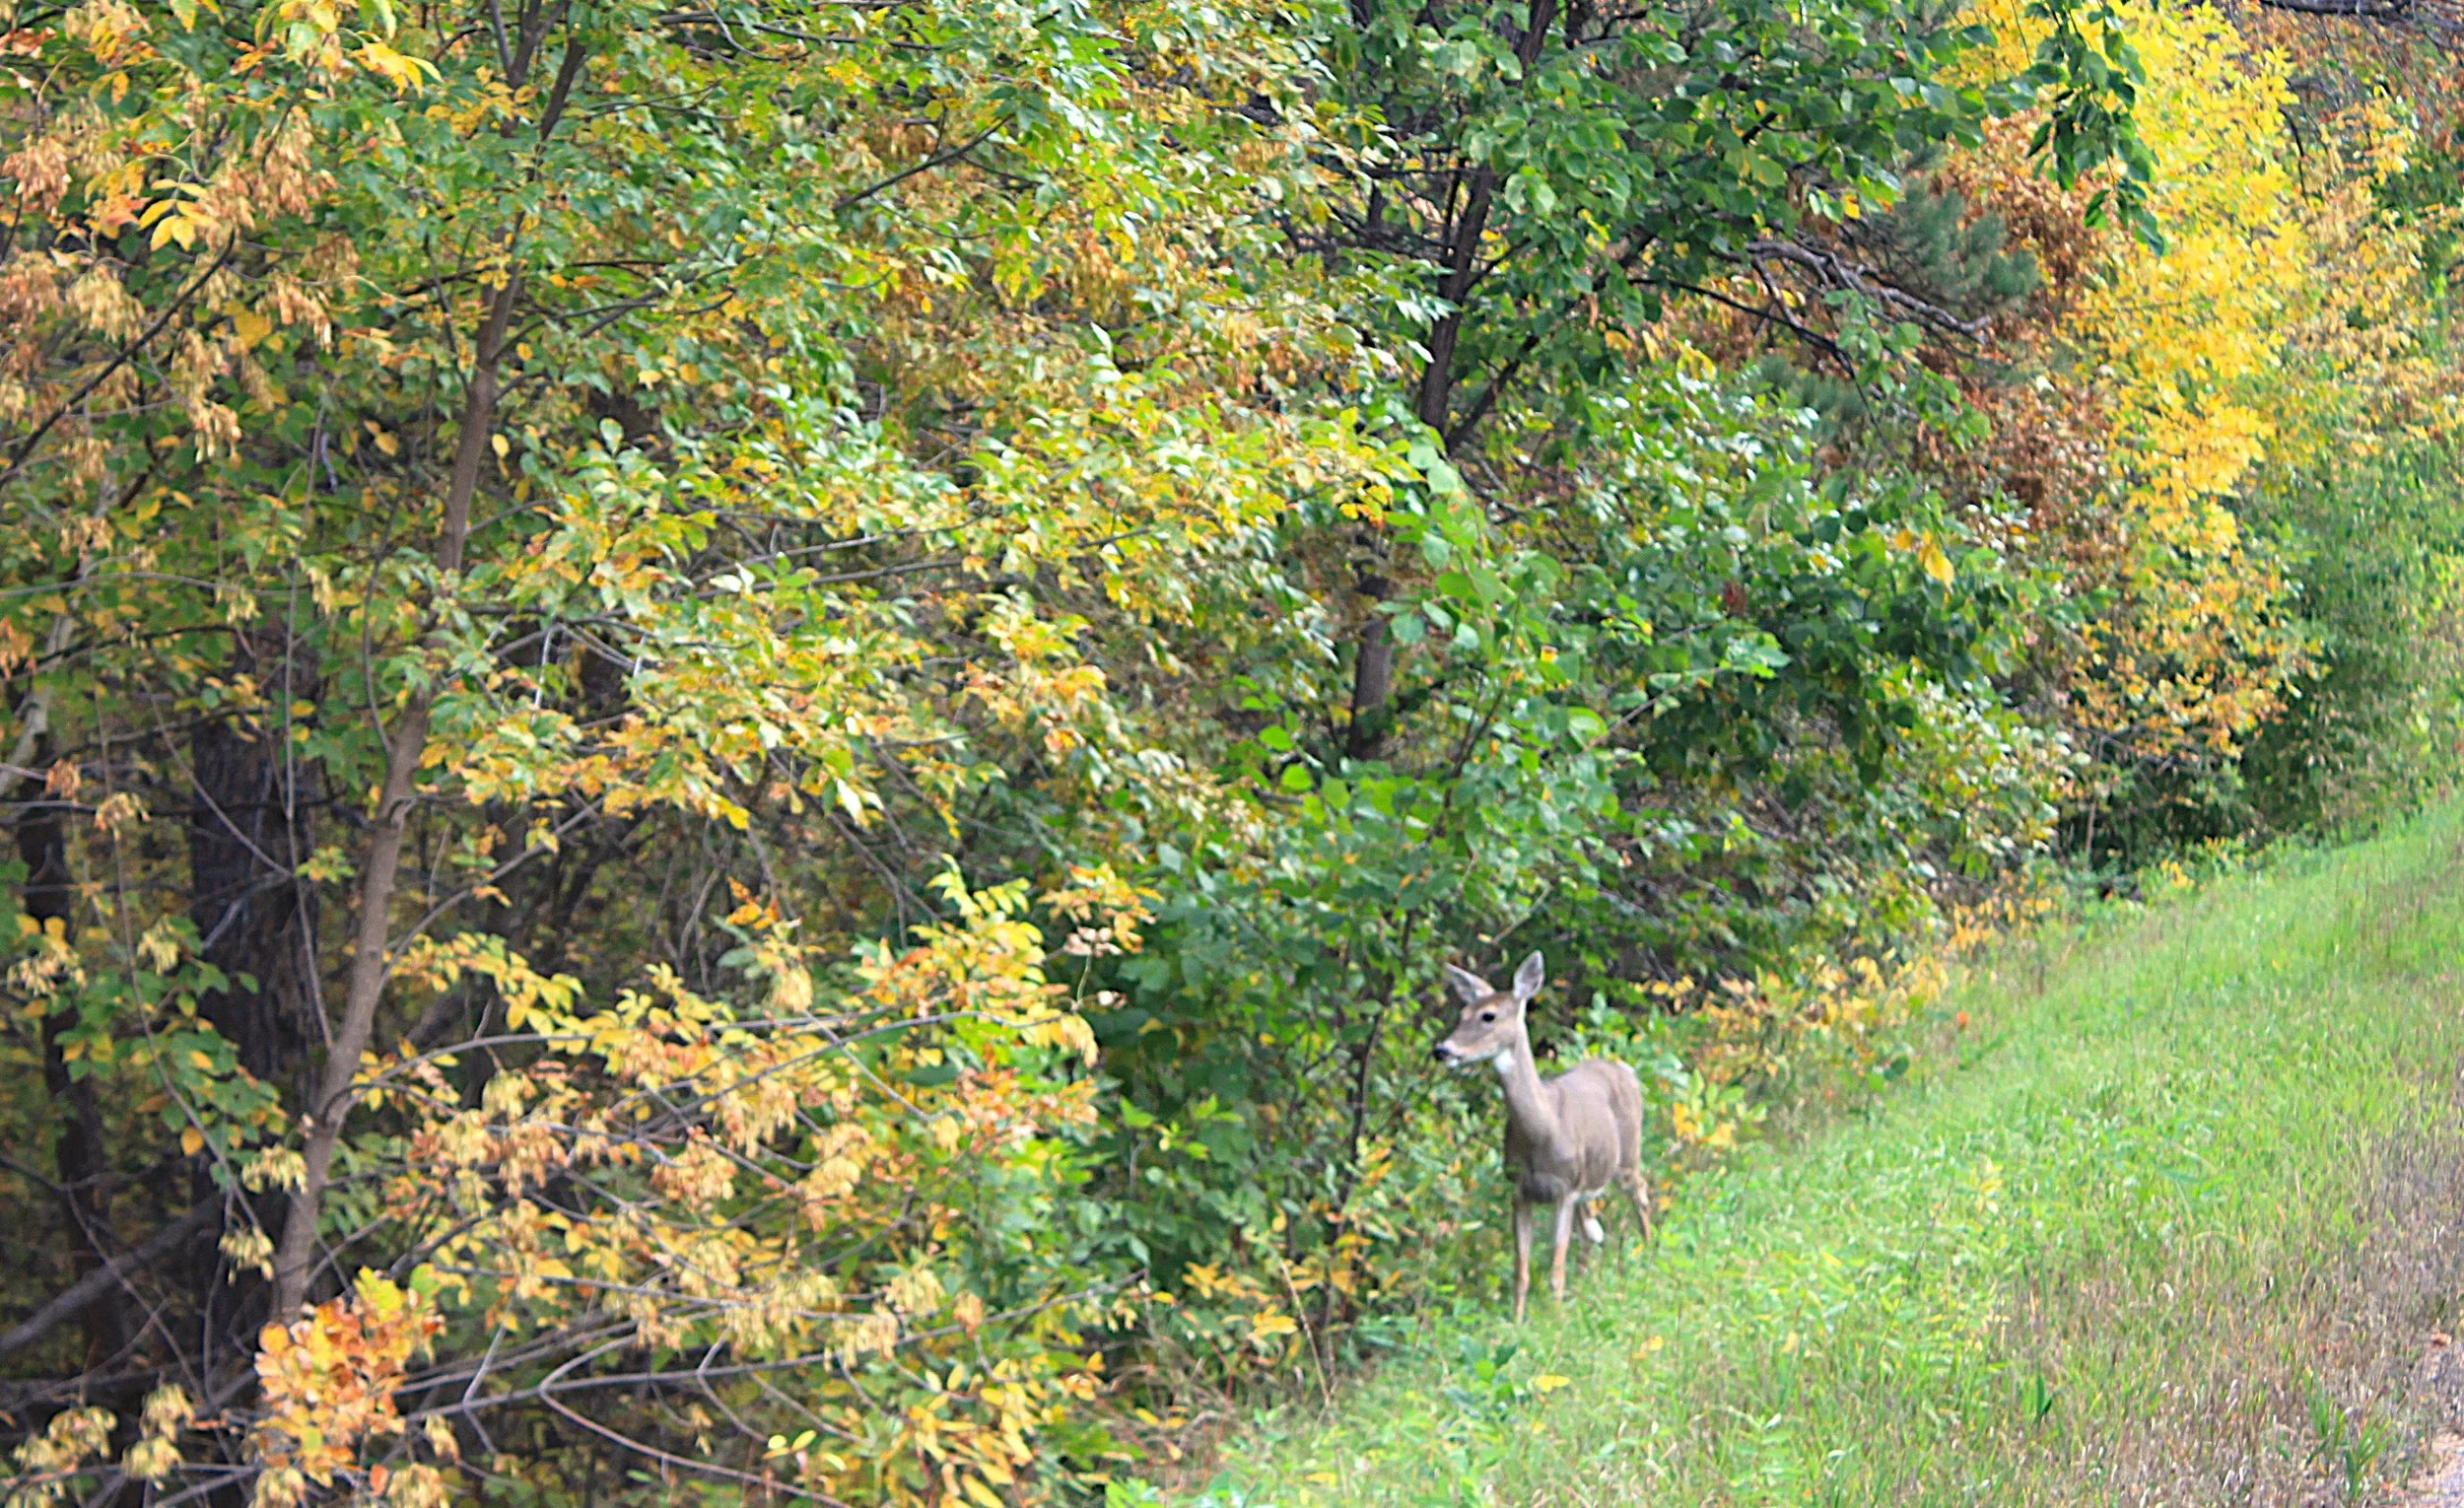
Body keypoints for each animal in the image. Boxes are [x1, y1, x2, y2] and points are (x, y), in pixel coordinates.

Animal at [1431, 951, 1653, 1322]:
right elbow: (1521, 1270)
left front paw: (1557, 1321)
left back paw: (1653, 1252)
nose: (1442, 1050)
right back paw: (1585, 1288)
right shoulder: (1520, 1191)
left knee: (1641, 1195)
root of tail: (1626, 1069)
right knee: (1591, 1233)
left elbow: (1555, 1269)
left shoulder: (1565, 1190)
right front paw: (1518, 1322)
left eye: (1489, 1015)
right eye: (1461, 1014)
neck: (1543, 1132)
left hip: (1628, 1155)